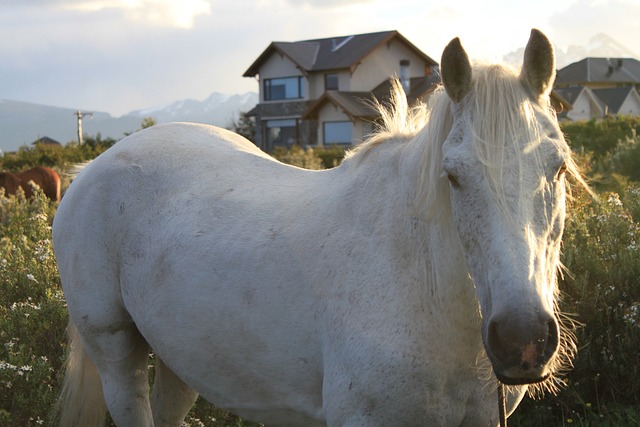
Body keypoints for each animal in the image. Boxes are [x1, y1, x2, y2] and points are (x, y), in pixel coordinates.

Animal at [53, 28, 580, 426]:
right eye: (453, 176)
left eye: (557, 167)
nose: (522, 339)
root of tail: (90, 169)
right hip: (115, 350)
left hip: (179, 356)